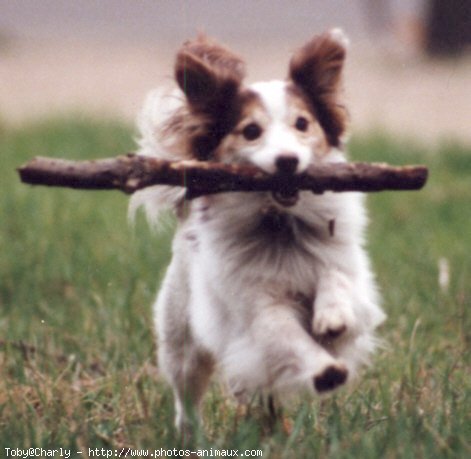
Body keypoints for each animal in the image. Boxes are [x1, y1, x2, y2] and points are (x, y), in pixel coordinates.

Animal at [128, 28, 384, 432]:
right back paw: (189, 432)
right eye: (251, 131)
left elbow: (336, 279)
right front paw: (325, 370)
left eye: (302, 124)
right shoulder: (257, 308)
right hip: (180, 338)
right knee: (186, 391)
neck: (282, 226)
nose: (288, 161)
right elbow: (287, 336)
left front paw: (332, 316)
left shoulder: (353, 277)